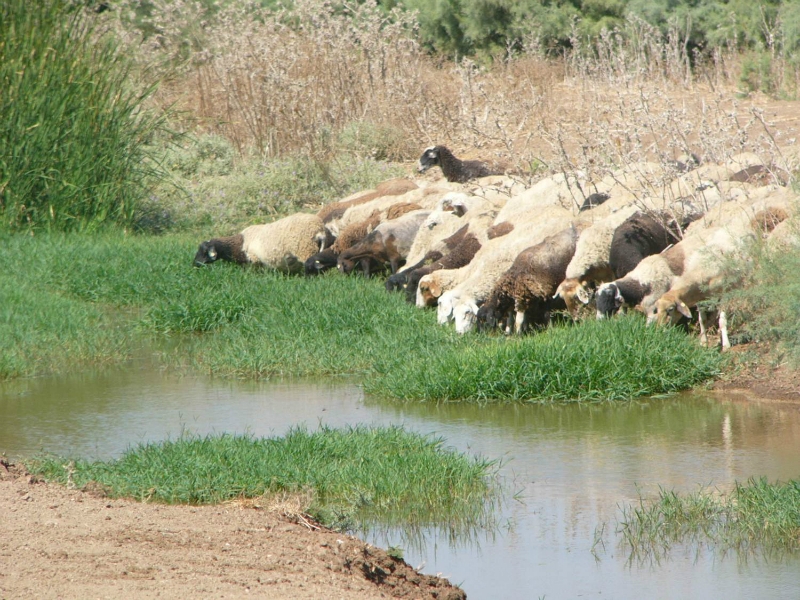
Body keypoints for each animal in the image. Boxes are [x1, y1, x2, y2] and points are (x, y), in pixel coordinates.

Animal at [193, 211, 324, 274]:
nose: (194, 264)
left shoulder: (254, 260)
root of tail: (319, 228)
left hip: (306, 249)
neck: (239, 245)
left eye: (203, 252)